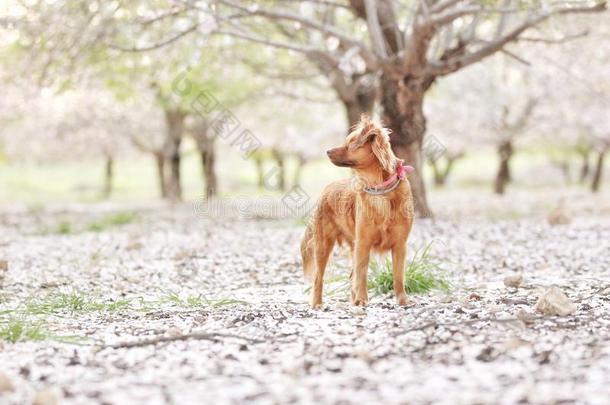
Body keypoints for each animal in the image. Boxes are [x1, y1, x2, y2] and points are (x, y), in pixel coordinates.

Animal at [300, 113, 414, 306]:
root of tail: (327, 188)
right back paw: (317, 303)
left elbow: (398, 276)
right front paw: (361, 300)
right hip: (323, 244)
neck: (379, 188)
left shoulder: (400, 244)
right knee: (318, 277)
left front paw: (402, 300)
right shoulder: (363, 243)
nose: (327, 151)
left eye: (350, 144)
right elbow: (361, 275)